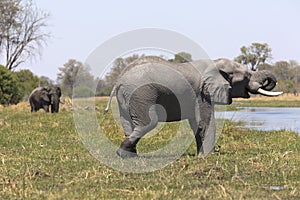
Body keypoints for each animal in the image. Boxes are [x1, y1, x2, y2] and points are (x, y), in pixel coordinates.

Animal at [104, 55, 280, 157]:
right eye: (247, 76)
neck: (215, 63)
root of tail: (119, 80)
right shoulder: (201, 93)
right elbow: (205, 122)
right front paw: (207, 157)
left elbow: (197, 124)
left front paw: (201, 155)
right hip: (142, 94)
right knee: (149, 123)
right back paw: (122, 153)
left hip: (127, 97)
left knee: (127, 123)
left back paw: (129, 157)